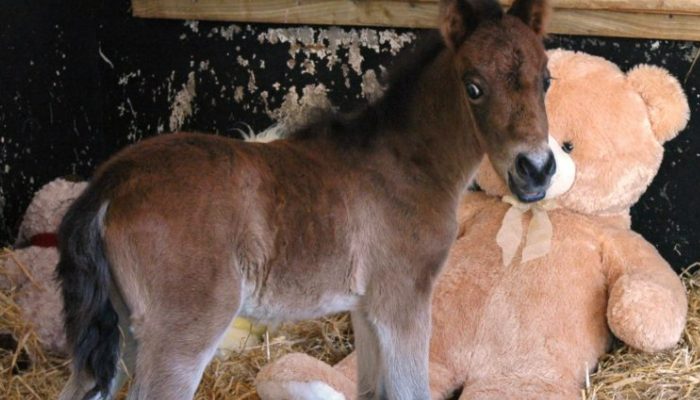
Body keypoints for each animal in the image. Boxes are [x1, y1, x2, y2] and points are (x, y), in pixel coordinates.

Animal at [57, 0, 554, 398]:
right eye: (473, 86)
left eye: (546, 79)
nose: (536, 169)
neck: (409, 162)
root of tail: (110, 183)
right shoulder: (403, 301)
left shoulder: (367, 308)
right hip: (179, 335)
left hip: (124, 334)